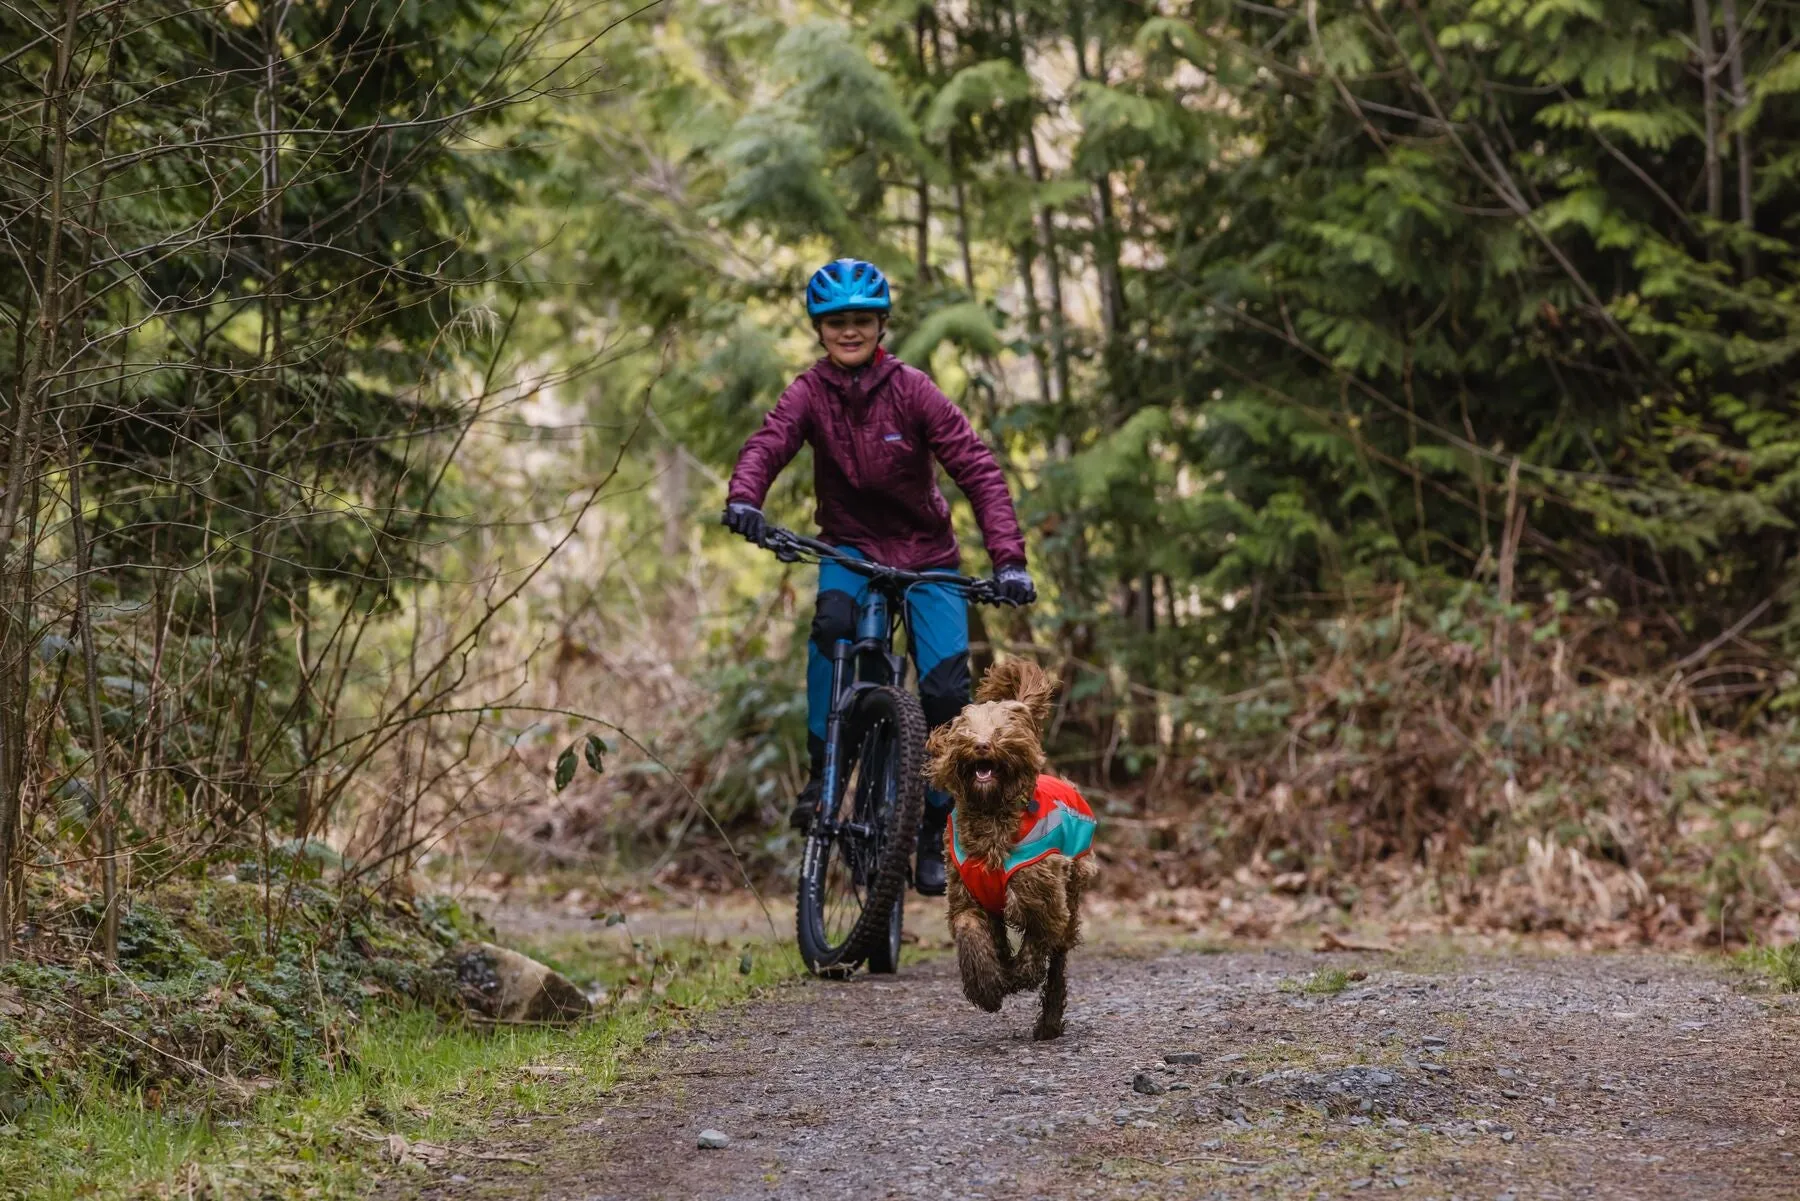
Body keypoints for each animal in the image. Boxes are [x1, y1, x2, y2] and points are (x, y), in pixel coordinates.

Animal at [928, 659, 1094, 1044]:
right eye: (966, 728)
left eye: (1003, 727)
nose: (982, 746)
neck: (991, 817)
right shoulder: (966, 895)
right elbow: (972, 933)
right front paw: (988, 987)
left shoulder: (1042, 898)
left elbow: (1035, 948)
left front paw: (1016, 977)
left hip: (1072, 891)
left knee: (1058, 962)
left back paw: (1049, 1022)